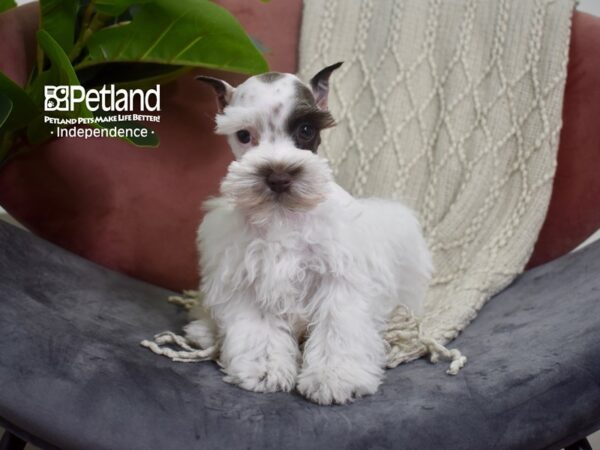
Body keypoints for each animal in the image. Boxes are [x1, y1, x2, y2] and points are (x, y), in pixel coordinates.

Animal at [188, 62, 432, 404]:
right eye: (244, 135)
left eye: (306, 130)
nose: (278, 177)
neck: (284, 215)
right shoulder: (249, 278)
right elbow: (260, 330)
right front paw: (264, 370)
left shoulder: (340, 281)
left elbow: (337, 329)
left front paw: (334, 377)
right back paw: (203, 331)